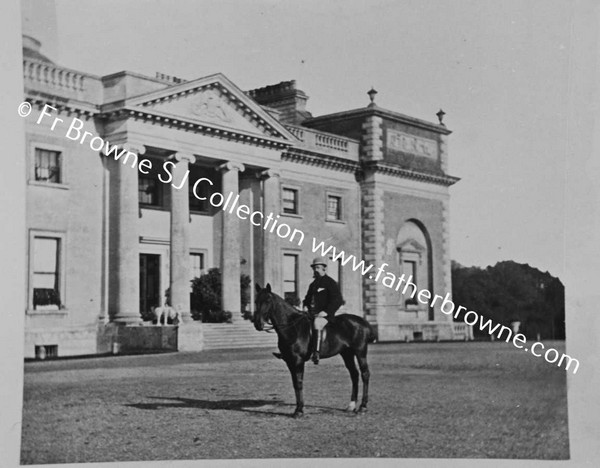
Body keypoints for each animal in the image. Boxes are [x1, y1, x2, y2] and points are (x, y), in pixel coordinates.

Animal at [252, 284, 372, 418]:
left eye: (268, 300)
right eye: (256, 301)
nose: (258, 324)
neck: (292, 327)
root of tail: (363, 322)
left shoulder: (298, 360)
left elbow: (299, 382)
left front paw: (299, 410)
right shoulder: (289, 361)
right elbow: (295, 383)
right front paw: (298, 408)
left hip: (360, 352)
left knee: (365, 374)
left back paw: (363, 406)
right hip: (347, 353)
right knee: (354, 374)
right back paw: (351, 405)